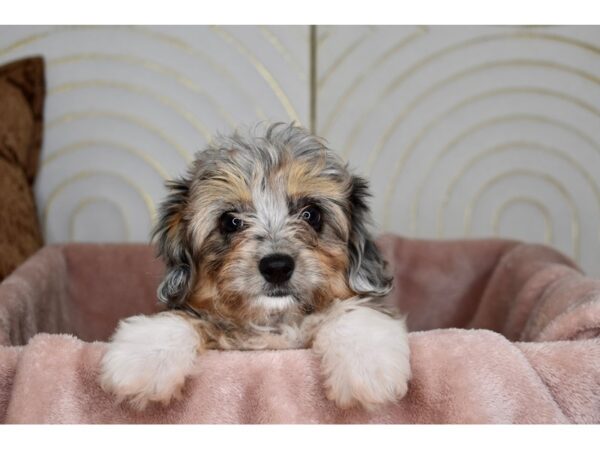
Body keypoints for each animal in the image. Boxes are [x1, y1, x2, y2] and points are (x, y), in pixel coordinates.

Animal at [99, 121, 412, 410]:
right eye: (230, 221)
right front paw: (145, 360)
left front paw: (368, 365)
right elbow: (179, 318)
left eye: (311, 214)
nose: (277, 267)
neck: (273, 324)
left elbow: (352, 311)